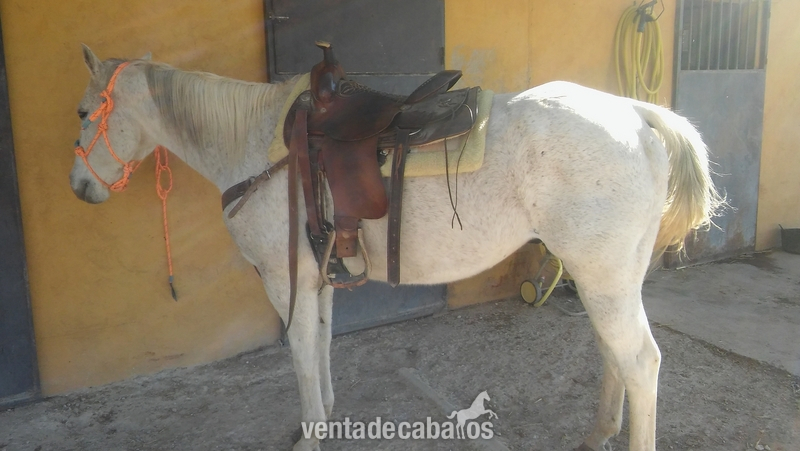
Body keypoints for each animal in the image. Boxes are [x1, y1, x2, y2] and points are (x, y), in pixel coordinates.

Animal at [69, 45, 720, 451]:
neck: (261, 145)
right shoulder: (318, 276)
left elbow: (301, 354)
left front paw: (311, 433)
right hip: (606, 274)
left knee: (641, 361)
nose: (79, 188)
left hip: (601, 274)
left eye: (81, 111)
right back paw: (599, 431)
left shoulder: (284, 279)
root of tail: (636, 113)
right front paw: (326, 418)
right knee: (616, 354)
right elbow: (321, 345)